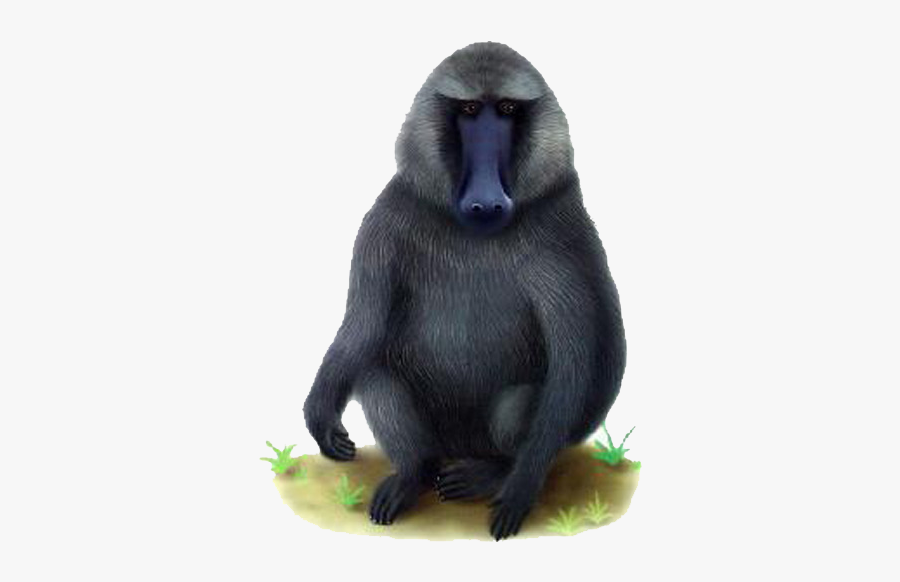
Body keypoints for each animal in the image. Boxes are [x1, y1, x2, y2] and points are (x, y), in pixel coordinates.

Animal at [302, 42, 626, 540]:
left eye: (508, 109)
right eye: (470, 110)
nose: (486, 203)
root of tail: (459, 447)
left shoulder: (560, 237)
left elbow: (575, 366)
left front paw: (520, 488)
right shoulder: (385, 219)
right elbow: (364, 324)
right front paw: (319, 416)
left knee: (521, 404)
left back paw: (493, 472)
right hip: (440, 433)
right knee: (375, 373)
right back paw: (414, 472)